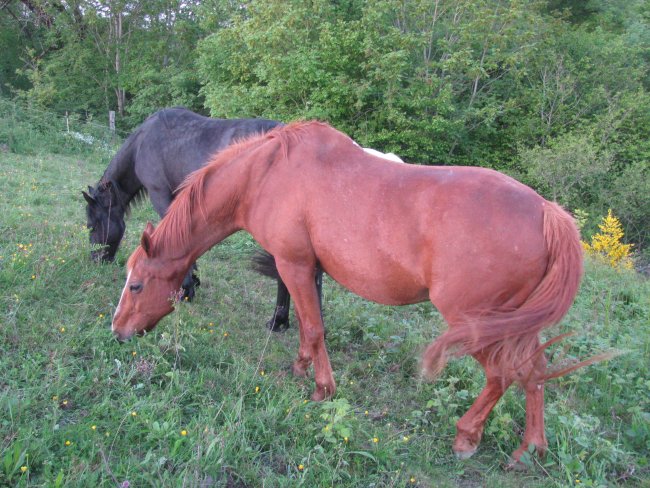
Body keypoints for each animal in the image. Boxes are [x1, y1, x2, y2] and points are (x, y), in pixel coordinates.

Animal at [83, 106, 322, 328]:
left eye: (92, 226)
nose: (96, 260)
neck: (143, 142)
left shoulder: (160, 195)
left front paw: (185, 290)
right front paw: (193, 282)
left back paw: (278, 320)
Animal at [112, 121, 588, 462]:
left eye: (136, 284)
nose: (117, 331)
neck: (266, 173)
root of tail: (547, 212)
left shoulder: (294, 264)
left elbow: (314, 325)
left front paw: (322, 389)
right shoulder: (303, 268)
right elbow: (308, 324)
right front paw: (301, 366)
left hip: (476, 324)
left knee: (502, 375)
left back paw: (466, 437)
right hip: (517, 326)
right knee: (535, 372)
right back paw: (531, 448)